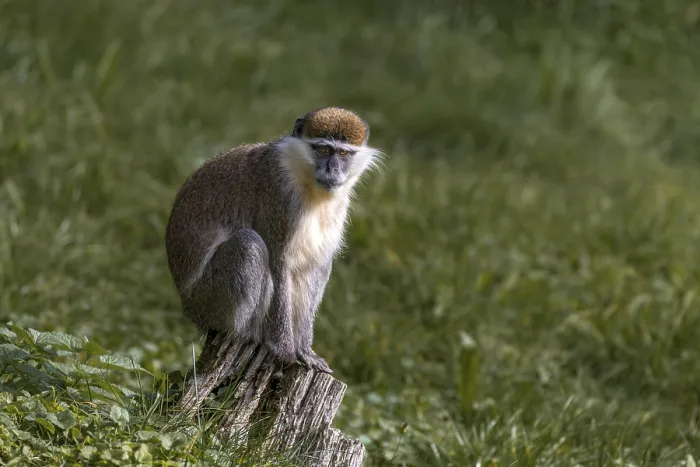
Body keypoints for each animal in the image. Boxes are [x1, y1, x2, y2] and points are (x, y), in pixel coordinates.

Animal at [164, 107, 383, 374]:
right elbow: (279, 262)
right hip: (208, 300)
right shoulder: (279, 196)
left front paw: (305, 350)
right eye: (322, 149)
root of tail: (188, 307)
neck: (306, 180)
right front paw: (285, 349)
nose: (332, 170)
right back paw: (251, 334)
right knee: (249, 244)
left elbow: (315, 268)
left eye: (343, 153)